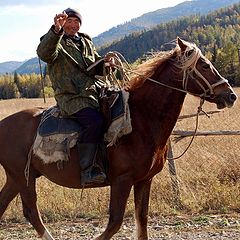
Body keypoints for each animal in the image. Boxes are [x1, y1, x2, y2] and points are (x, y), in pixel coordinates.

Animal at [0, 38, 237, 239]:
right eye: (204, 65)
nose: (231, 95)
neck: (141, 119)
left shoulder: (144, 180)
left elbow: (142, 221)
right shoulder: (122, 181)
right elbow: (115, 223)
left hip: (17, 178)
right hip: (23, 177)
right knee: (31, 211)